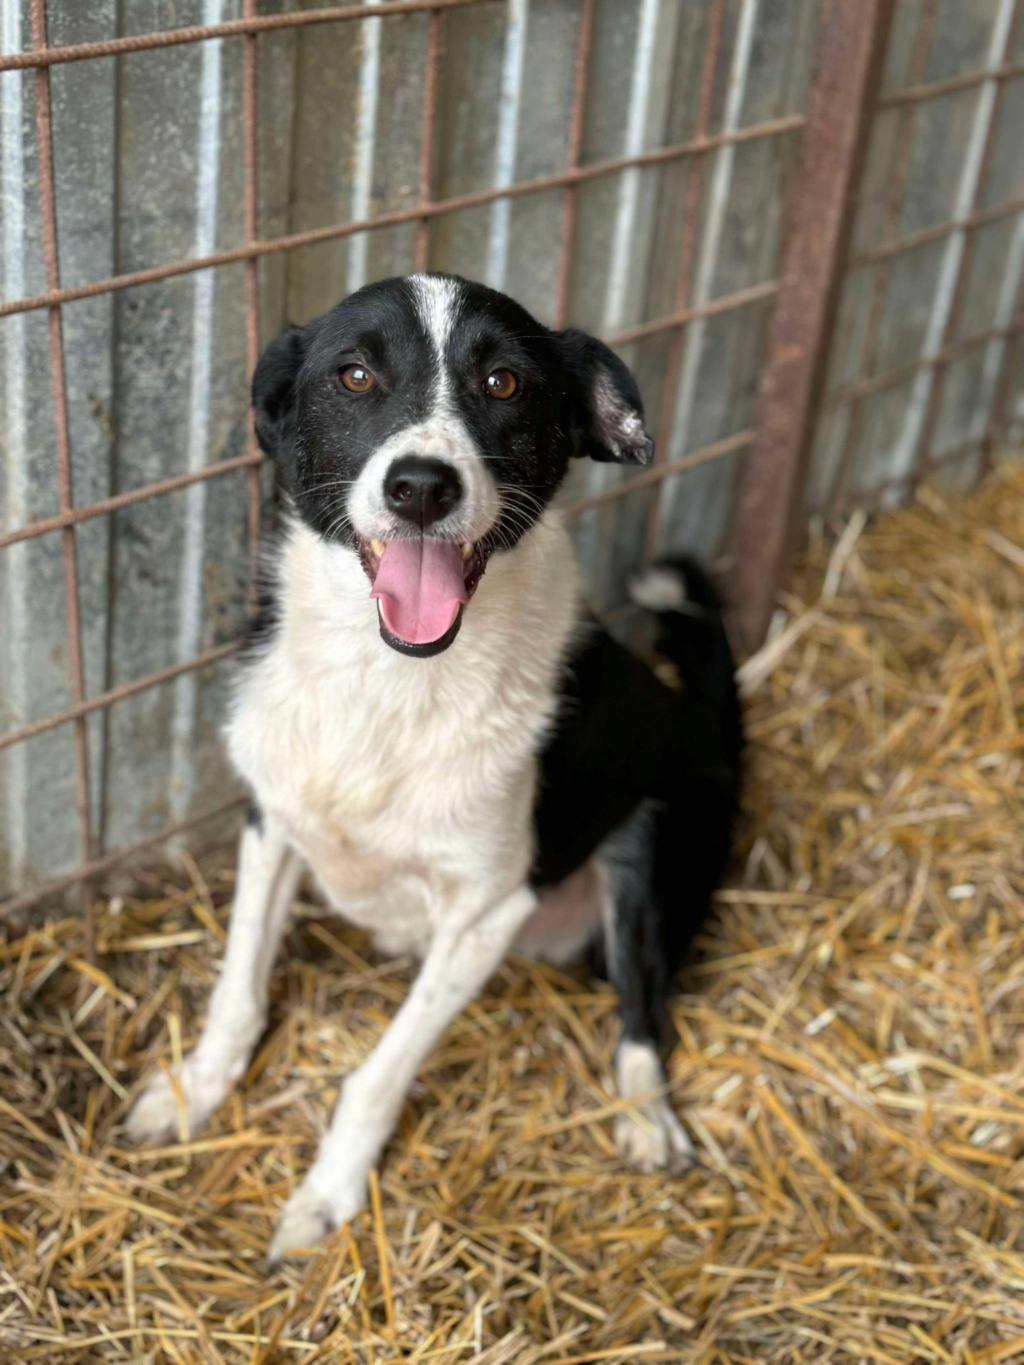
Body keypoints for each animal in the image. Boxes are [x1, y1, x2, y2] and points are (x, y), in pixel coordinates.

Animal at [126, 271, 748, 1261]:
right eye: (353, 375)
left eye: (504, 383)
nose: (421, 484)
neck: (388, 682)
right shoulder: (271, 821)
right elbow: (237, 991)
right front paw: (196, 1089)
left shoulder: (489, 909)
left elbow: (380, 1072)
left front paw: (326, 1194)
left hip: (650, 850)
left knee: (642, 1013)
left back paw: (648, 1118)